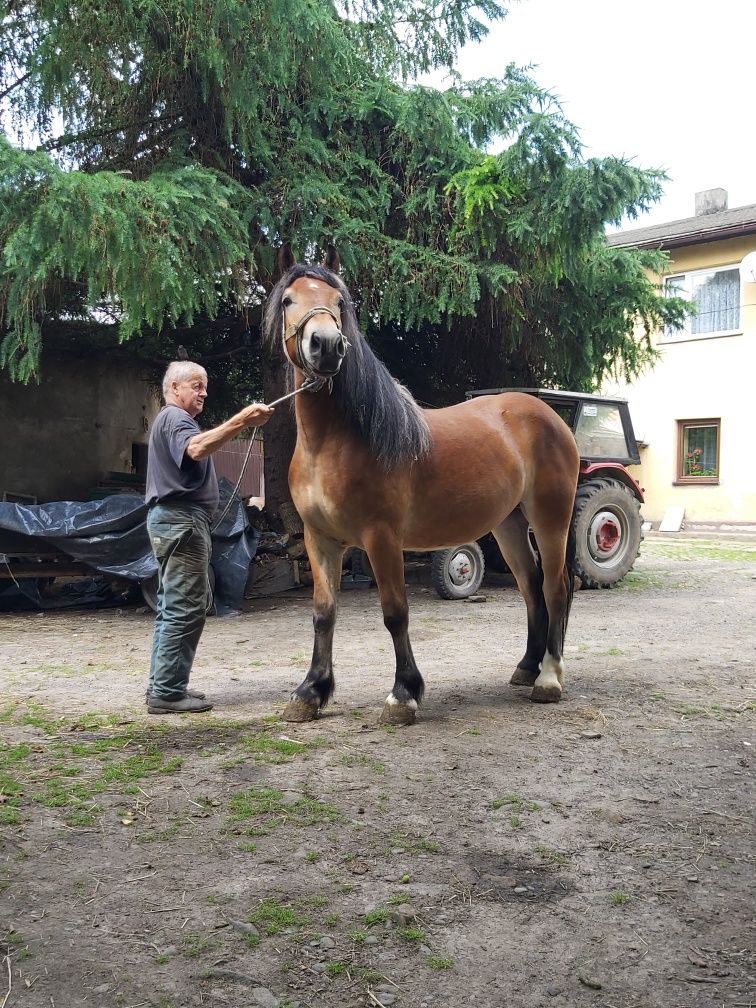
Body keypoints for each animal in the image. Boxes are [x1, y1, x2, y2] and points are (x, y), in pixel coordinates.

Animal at [264, 250, 584, 725]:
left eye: (339, 302)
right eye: (288, 300)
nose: (326, 345)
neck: (336, 442)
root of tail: (550, 417)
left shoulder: (381, 538)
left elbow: (395, 613)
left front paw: (404, 694)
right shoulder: (319, 539)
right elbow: (323, 614)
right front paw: (310, 693)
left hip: (550, 518)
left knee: (555, 587)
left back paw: (548, 679)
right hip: (508, 525)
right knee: (530, 587)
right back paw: (527, 667)